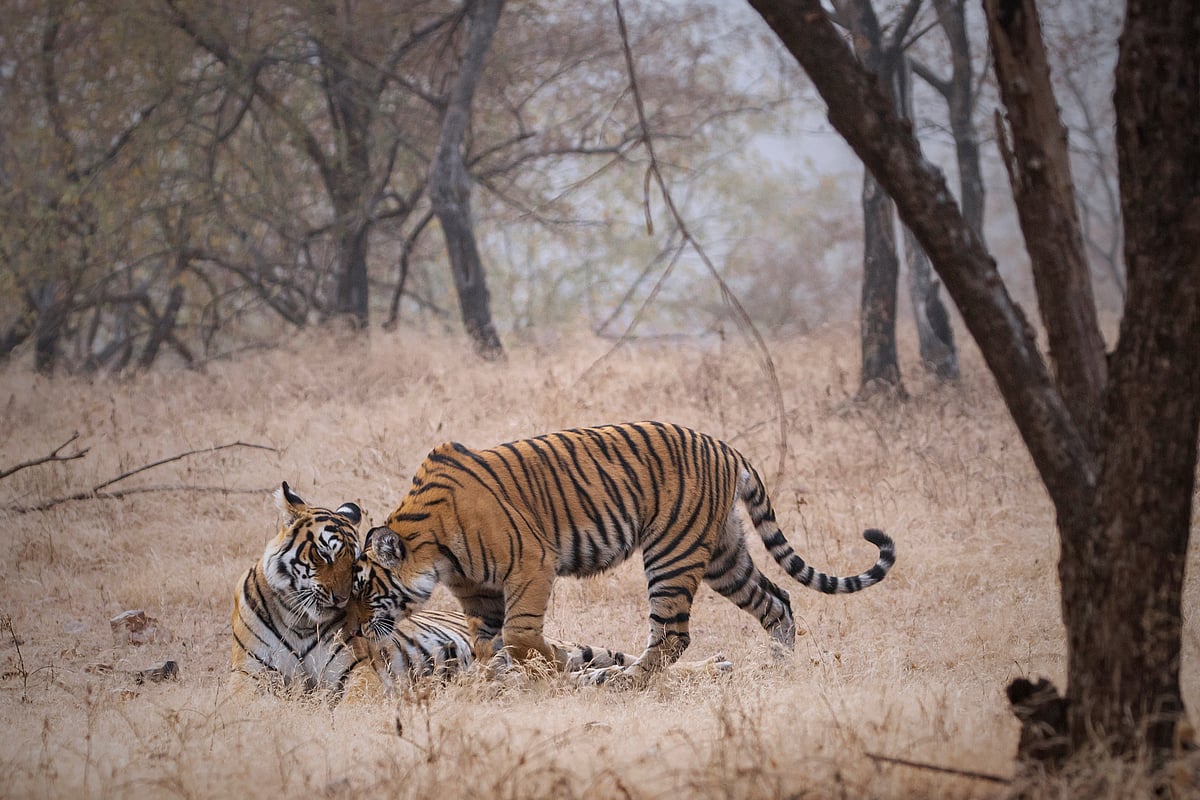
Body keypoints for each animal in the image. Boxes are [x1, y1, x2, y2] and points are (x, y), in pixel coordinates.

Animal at [361, 421, 896, 687]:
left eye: (361, 588)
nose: (358, 637)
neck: (435, 553)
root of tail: (726, 448)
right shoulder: (477, 592)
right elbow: (488, 644)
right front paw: (508, 679)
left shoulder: (531, 563)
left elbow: (518, 634)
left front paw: (557, 661)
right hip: (724, 555)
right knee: (777, 603)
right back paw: (779, 671)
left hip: (672, 551)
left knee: (673, 637)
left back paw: (626, 678)